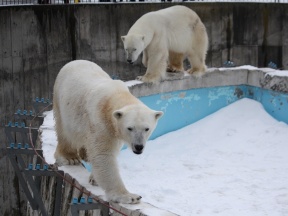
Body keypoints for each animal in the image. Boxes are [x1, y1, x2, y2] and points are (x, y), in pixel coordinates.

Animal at [53, 59, 163, 204]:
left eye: (146, 128)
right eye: (130, 128)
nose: (138, 147)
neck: (114, 96)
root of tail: (74, 61)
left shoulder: (114, 131)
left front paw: (94, 178)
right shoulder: (100, 121)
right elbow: (103, 155)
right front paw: (130, 196)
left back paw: (84, 154)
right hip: (61, 100)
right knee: (65, 132)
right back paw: (70, 157)